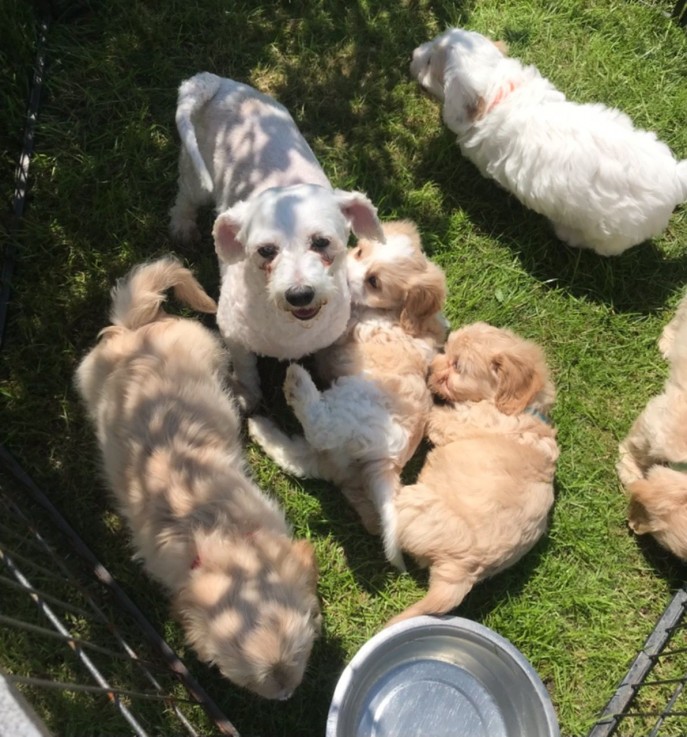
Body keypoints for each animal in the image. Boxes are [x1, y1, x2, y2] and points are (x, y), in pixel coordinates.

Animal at [75, 256, 322, 700]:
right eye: (243, 683)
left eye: (304, 655)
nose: (286, 695)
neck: (219, 535)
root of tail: (133, 329)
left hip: (207, 347)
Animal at [388, 324, 560, 628]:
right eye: (446, 350)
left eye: (457, 366)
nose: (429, 369)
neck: (522, 408)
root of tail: (459, 572)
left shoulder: (458, 422)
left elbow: (434, 414)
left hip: (414, 499)